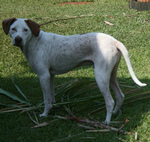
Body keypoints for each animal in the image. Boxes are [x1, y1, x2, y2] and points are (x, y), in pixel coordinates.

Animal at [2, 17, 146, 124]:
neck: (35, 41)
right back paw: (116, 113)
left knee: (110, 101)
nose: (18, 39)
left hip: (100, 77)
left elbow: (46, 99)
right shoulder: (50, 76)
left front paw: (45, 114)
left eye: (25, 30)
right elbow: (51, 96)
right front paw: (53, 108)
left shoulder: (43, 76)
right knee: (120, 95)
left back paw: (107, 122)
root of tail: (114, 41)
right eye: (13, 29)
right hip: (111, 76)